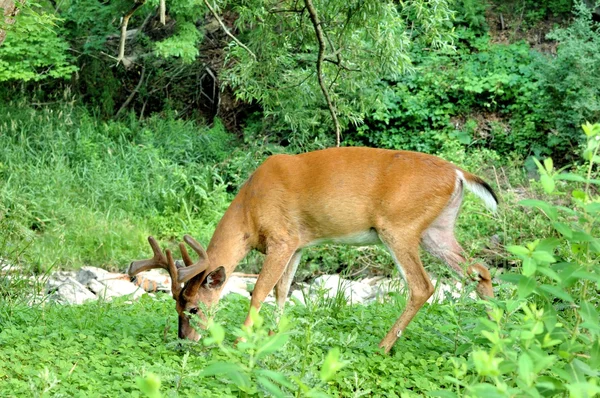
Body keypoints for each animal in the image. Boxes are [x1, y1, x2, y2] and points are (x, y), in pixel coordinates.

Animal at [127, 145, 496, 352]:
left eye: (192, 309)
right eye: (175, 307)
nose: (184, 341)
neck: (250, 212)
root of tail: (458, 173)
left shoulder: (281, 238)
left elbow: (259, 290)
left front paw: (242, 340)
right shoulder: (299, 244)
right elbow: (283, 289)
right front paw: (274, 333)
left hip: (399, 227)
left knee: (423, 286)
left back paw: (383, 345)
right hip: (437, 230)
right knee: (480, 270)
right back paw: (495, 334)